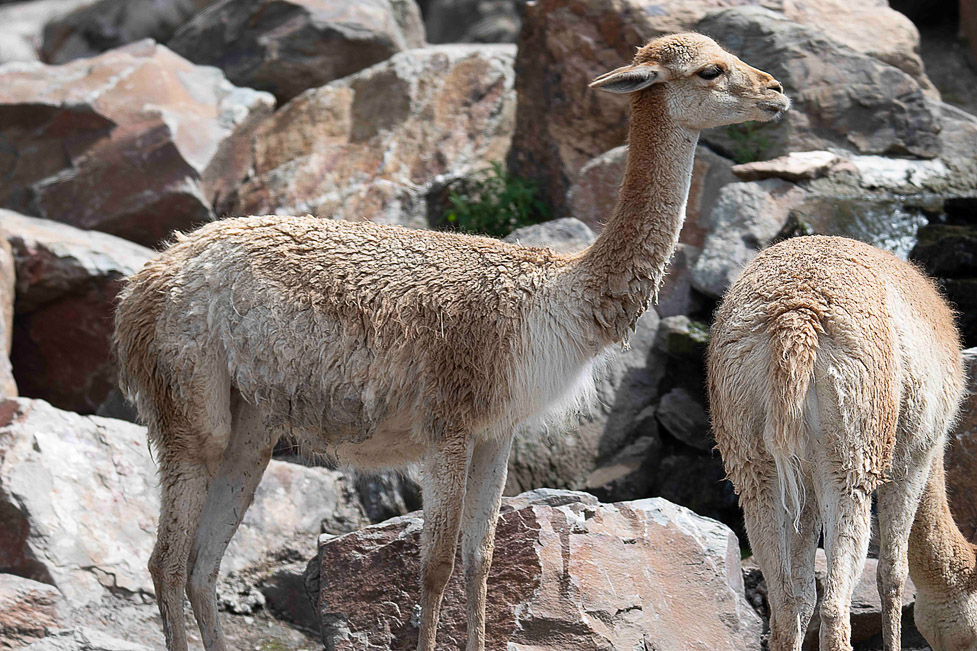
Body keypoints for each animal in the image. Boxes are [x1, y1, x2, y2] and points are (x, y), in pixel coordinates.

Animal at [114, 32, 788, 651]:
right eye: (710, 70)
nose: (777, 91)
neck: (552, 299)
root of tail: (143, 281)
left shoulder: (497, 431)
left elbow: (481, 558)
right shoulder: (449, 425)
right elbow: (434, 565)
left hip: (250, 425)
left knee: (202, 566)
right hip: (189, 402)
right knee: (166, 562)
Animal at [708, 235, 970, 651]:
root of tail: (795, 318)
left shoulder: (804, 480)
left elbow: (801, 593)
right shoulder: (916, 456)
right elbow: (893, 574)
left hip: (752, 453)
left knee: (785, 605)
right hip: (853, 449)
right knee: (835, 606)